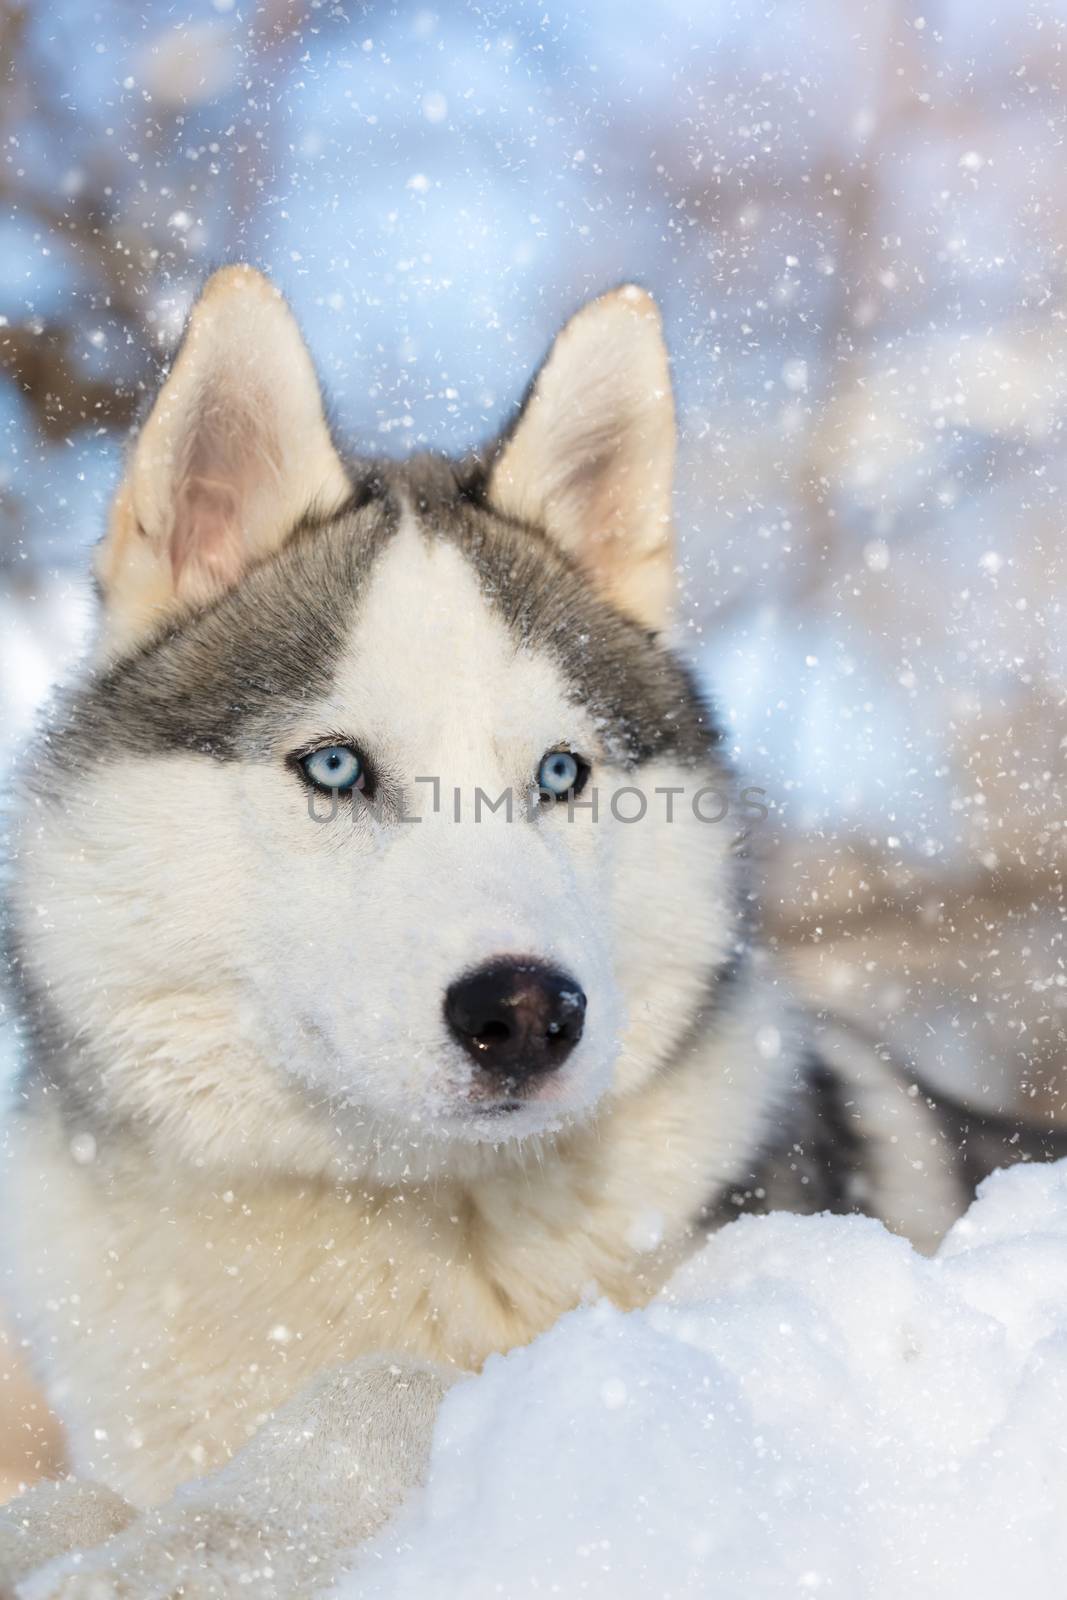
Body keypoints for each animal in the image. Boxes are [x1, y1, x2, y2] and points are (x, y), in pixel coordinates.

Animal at [0, 268, 1049, 1593]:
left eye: (559, 772)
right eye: (334, 767)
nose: (527, 1013)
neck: (371, 1208)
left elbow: (381, 1393)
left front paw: (189, 1543)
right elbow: (59, 1499)